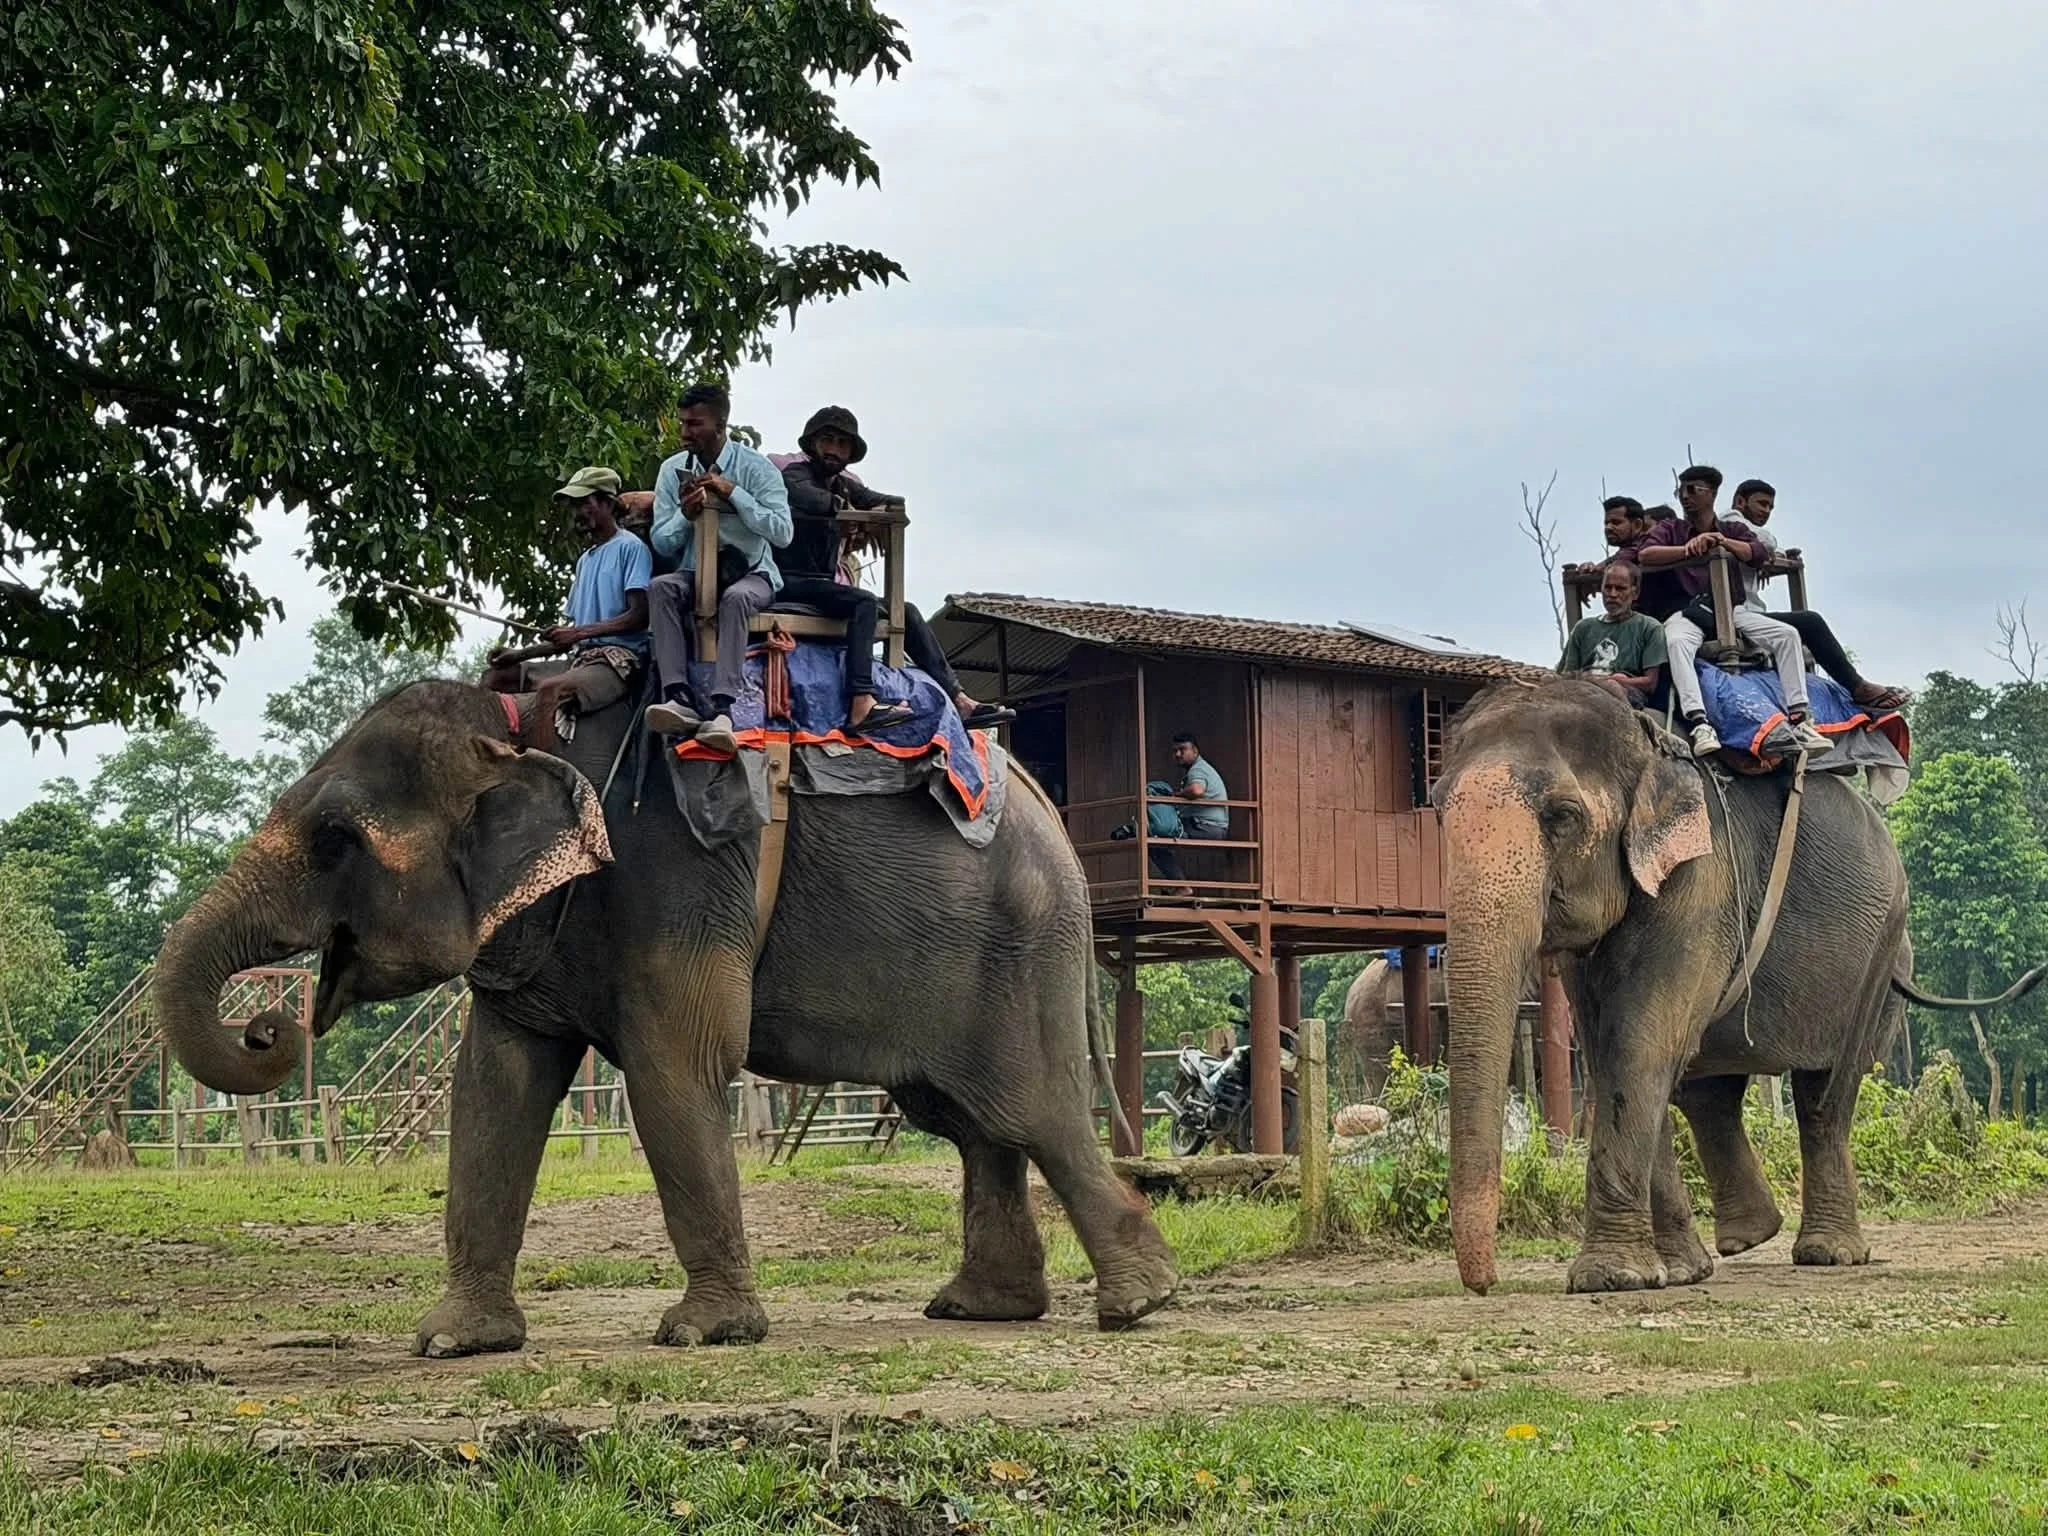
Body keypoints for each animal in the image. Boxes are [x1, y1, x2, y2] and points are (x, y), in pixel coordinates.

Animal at [153, 680, 1179, 1353]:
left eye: (335, 841)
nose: (267, 1026)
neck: (524, 729)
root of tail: (1045, 802)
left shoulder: (674, 880)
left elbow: (671, 1069)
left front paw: (704, 1334)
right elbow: (493, 1089)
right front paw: (453, 1341)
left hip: (1021, 950)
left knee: (1030, 1111)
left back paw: (1139, 1305)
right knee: (967, 1120)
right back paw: (980, 1309)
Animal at [1432, 676, 2039, 1296]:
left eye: (1562, 814)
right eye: (1436, 809)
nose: (1484, 1285)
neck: (1646, 745)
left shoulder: (1705, 879)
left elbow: (1639, 1048)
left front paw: (1610, 1279)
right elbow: (1613, 1054)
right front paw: (1671, 1273)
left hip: (1881, 951)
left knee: (1824, 1096)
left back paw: (1827, 1253)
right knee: (1707, 1092)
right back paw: (1744, 1239)